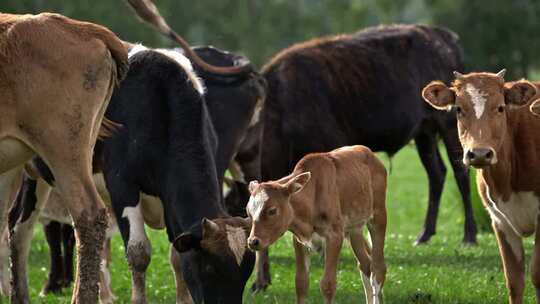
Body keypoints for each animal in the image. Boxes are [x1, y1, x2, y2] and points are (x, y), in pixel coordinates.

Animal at [245, 145, 388, 304]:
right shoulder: (299, 240)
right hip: (354, 229)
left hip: (378, 216)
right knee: (365, 265)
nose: (253, 241)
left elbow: (328, 284)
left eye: (272, 210)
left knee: (378, 269)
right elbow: (301, 283)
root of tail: (369, 153)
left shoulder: (334, 236)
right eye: (248, 211)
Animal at [422, 70, 540, 304]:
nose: (479, 154)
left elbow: (537, 274)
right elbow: (514, 280)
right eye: (459, 109)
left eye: (500, 107)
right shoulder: (499, 220)